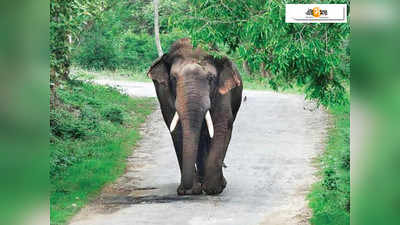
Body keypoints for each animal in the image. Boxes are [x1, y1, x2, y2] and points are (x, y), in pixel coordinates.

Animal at [146, 37, 241, 194]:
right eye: (173, 78)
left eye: (211, 78)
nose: (184, 190)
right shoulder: (164, 93)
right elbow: (177, 130)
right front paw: (190, 191)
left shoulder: (223, 92)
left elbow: (221, 126)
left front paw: (213, 189)